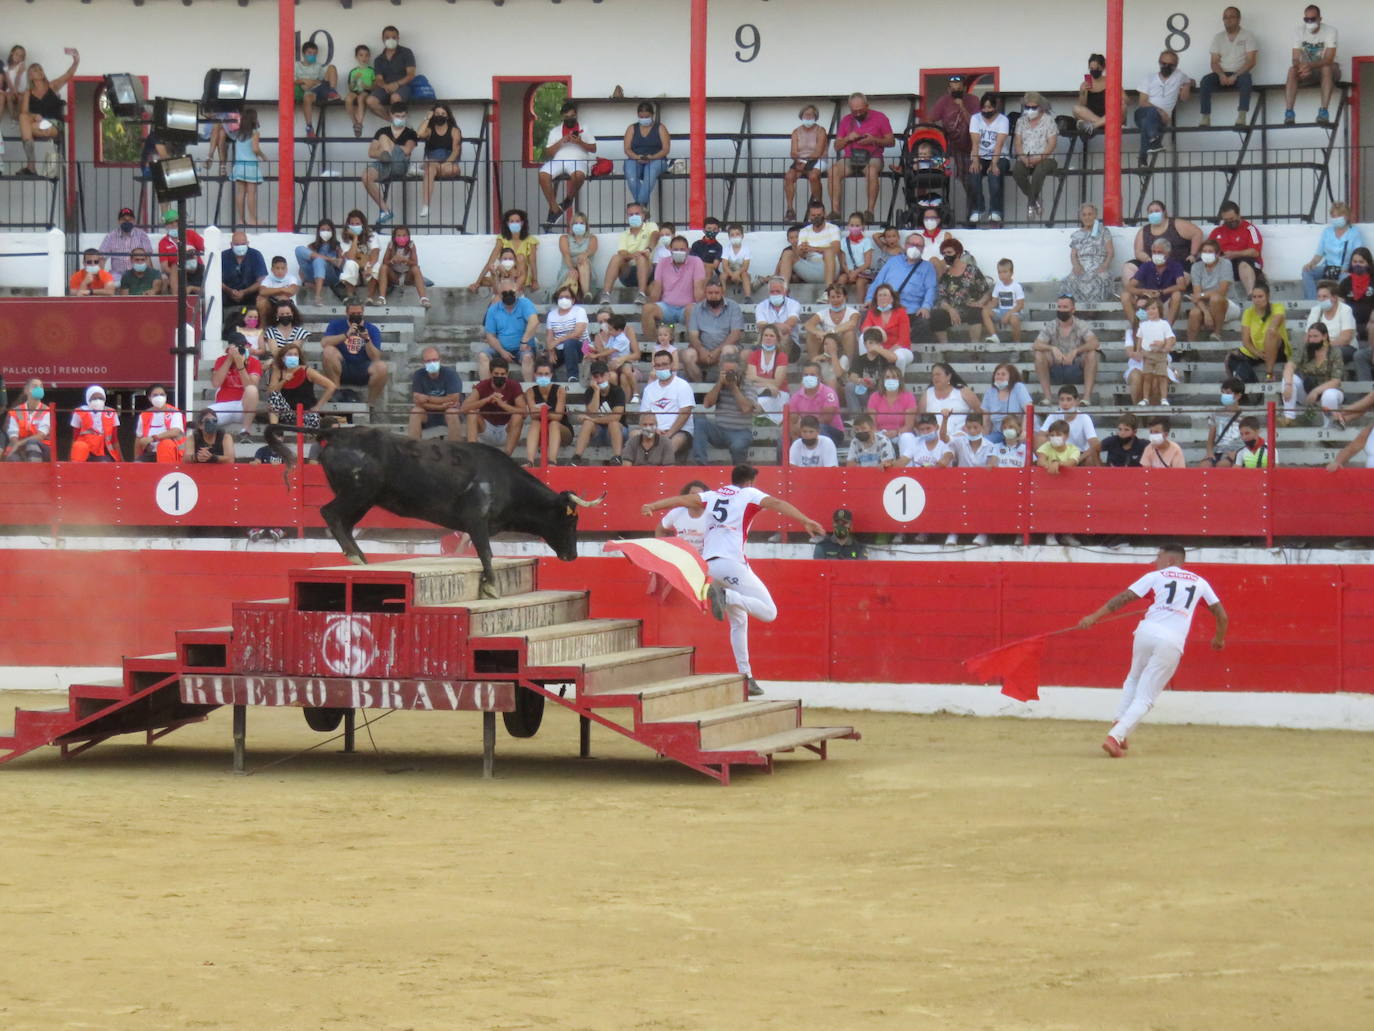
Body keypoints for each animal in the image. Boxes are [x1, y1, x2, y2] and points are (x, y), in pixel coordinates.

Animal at [267, 426, 607, 596]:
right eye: (570, 521)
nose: (572, 555)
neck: (505, 481)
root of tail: (338, 434)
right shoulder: (476, 521)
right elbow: (486, 553)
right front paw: (491, 586)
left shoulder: (475, 527)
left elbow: (479, 550)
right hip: (358, 492)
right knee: (330, 514)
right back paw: (355, 557)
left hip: (365, 498)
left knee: (343, 522)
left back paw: (360, 558)